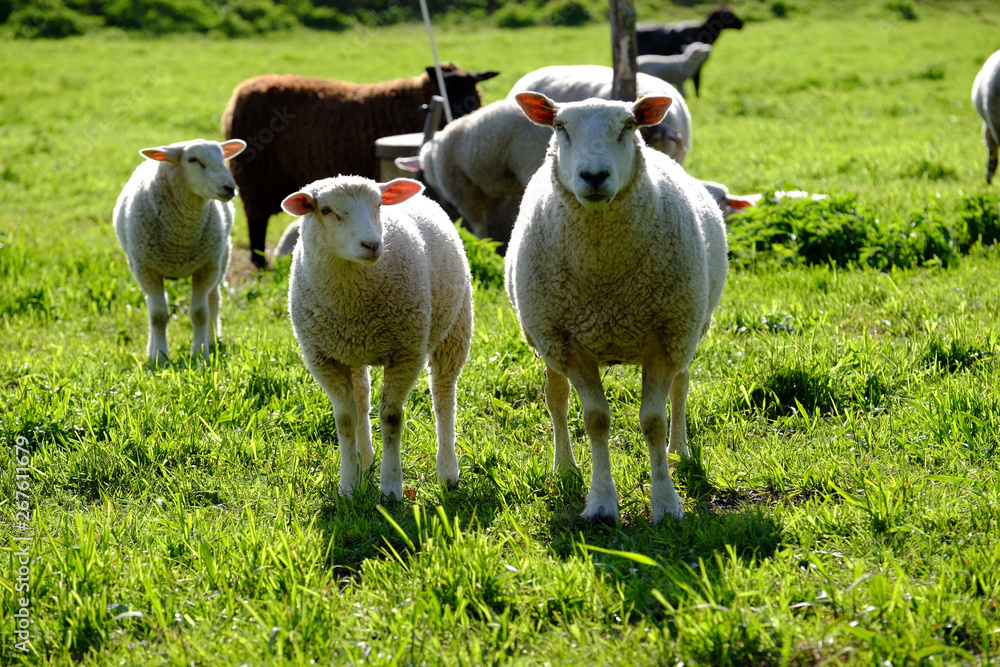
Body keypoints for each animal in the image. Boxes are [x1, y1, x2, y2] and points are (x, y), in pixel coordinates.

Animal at [113, 138, 247, 363]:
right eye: (192, 160)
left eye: (222, 158)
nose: (230, 188)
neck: (180, 240)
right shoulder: (147, 269)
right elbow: (158, 315)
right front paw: (159, 356)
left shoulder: (205, 268)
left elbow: (200, 313)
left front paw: (201, 353)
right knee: (152, 304)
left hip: (221, 259)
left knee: (213, 300)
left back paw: (212, 340)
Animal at [222, 63, 499, 268]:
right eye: (448, 87)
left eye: (474, 87)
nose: (471, 107)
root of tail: (241, 92)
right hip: (255, 176)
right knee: (256, 222)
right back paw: (259, 263)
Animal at [283, 176, 473, 501]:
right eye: (326, 210)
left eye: (379, 205)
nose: (371, 244)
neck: (353, 300)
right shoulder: (324, 358)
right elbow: (346, 419)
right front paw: (348, 485)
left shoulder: (407, 353)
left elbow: (392, 417)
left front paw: (391, 488)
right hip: (352, 352)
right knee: (362, 400)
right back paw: (365, 460)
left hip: (456, 326)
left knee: (444, 395)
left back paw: (448, 471)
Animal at [505, 93, 728, 524]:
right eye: (560, 126)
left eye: (628, 125)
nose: (594, 175)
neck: (604, 273)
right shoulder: (570, 345)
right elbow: (596, 421)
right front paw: (601, 503)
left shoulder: (666, 337)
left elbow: (654, 421)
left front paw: (666, 503)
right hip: (546, 337)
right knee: (555, 397)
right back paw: (565, 467)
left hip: (688, 327)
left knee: (681, 386)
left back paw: (680, 450)